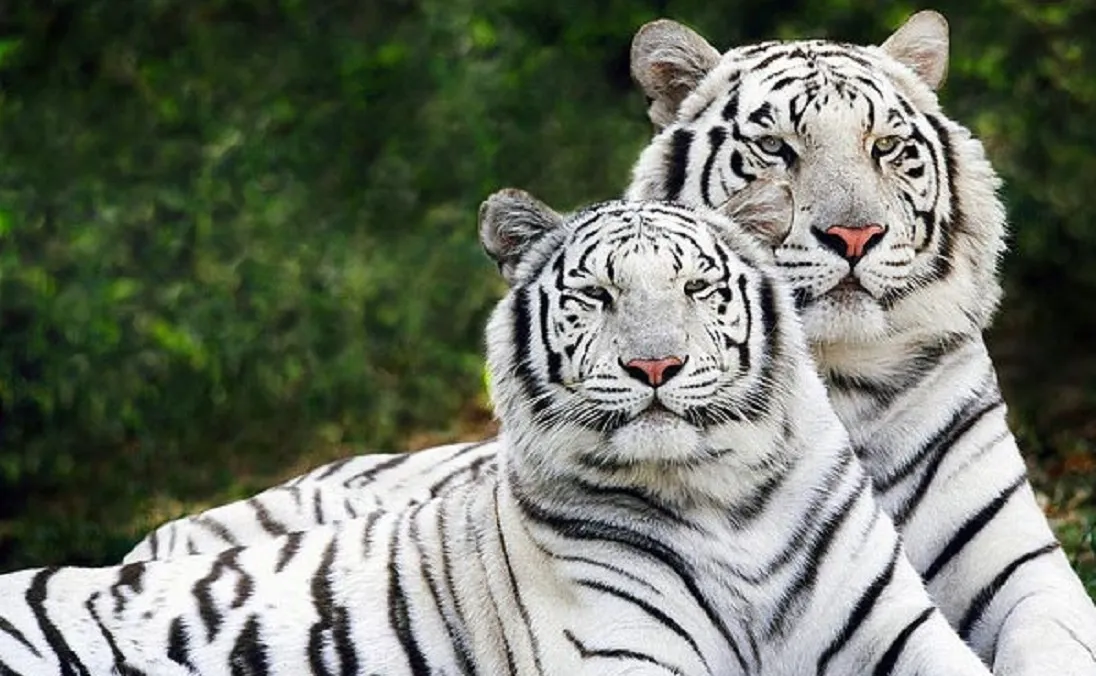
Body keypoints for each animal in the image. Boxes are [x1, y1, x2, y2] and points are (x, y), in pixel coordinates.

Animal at [0, 188, 995, 674]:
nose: (657, 368)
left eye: (697, 288)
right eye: (598, 294)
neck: (722, 500)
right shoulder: (623, 658)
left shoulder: (899, 632)